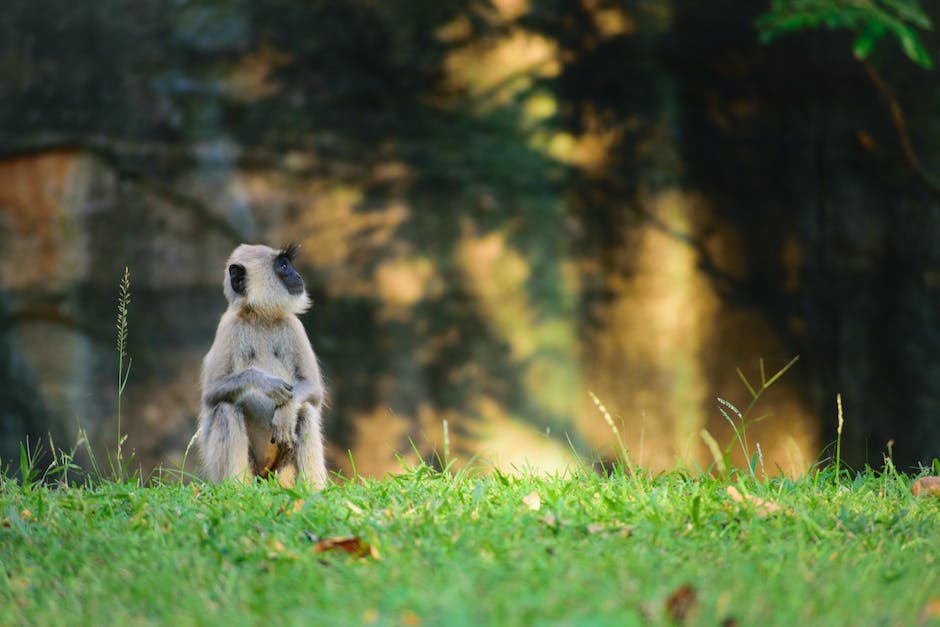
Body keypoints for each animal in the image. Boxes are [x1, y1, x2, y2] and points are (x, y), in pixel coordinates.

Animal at [197, 243, 326, 488]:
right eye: (283, 266)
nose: (298, 276)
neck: (260, 316)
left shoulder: (293, 325)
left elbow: (313, 389)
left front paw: (285, 412)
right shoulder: (229, 326)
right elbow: (211, 394)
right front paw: (264, 382)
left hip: (281, 474)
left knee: (304, 410)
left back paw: (311, 490)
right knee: (227, 408)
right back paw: (237, 490)